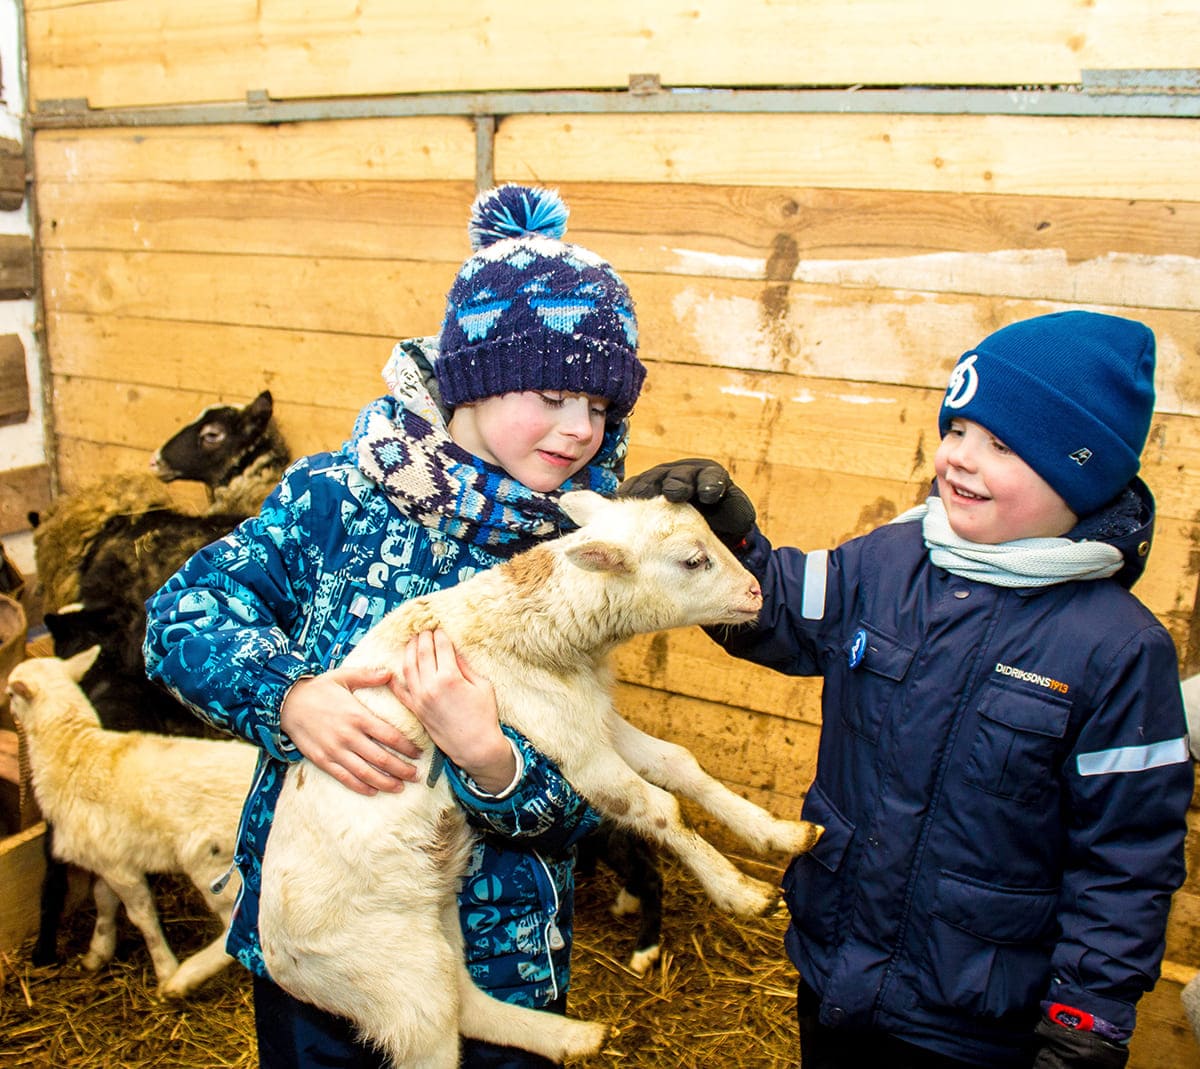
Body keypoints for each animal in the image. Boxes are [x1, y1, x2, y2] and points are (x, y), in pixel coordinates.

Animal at [7, 652, 255, 1003]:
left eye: (10, 693)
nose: (9, 709)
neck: (73, 751)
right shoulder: (107, 857)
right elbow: (103, 900)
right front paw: (97, 952)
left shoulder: (121, 870)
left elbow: (143, 918)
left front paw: (164, 968)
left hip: (211, 861)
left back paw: (183, 979)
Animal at [260, 491, 825, 1069]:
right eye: (693, 561)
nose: (756, 593)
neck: (541, 629)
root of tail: (281, 964)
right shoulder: (569, 744)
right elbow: (655, 806)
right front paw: (740, 892)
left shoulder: (591, 719)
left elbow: (678, 763)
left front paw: (779, 834)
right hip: (383, 974)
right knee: (438, 1022)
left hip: (428, 928)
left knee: (467, 1005)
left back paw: (574, 1038)